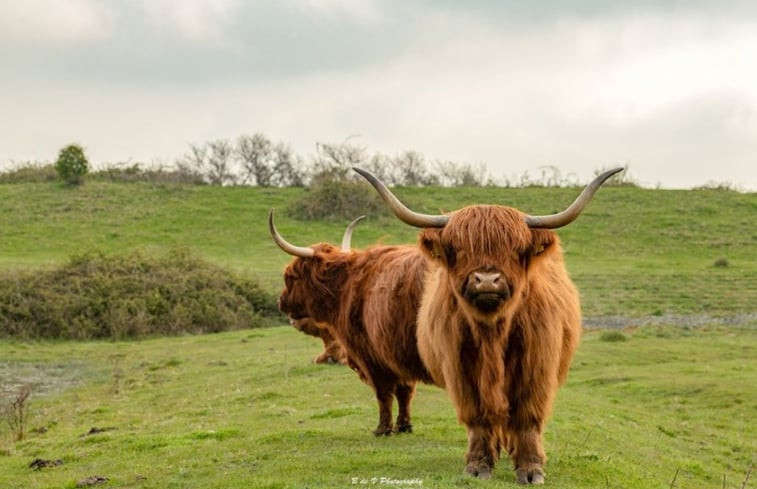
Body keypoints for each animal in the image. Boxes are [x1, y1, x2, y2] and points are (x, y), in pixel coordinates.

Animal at [268, 212, 432, 432]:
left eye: (290, 276)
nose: (281, 301)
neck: (345, 286)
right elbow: (404, 392)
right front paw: (403, 426)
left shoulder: (372, 355)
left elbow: (384, 393)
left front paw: (383, 429)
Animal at [354, 166, 620, 482]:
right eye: (459, 248)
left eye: (515, 249)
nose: (487, 281)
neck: (493, 331)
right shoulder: (461, 370)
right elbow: (479, 417)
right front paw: (479, 465)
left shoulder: (536, 367)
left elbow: (526, 418)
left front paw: (530, 469)